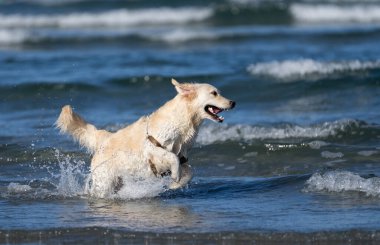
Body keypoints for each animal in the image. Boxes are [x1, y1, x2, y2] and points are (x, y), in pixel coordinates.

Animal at [55, 79, 235, 198]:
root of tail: (105, 138)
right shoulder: (153, 148)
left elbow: (190, 171)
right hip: (104, 180)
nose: (233, 102)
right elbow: (171, 157)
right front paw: (175, 177)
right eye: (214, 93)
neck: (184, 120)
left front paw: (175, 184)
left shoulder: (183, 156)